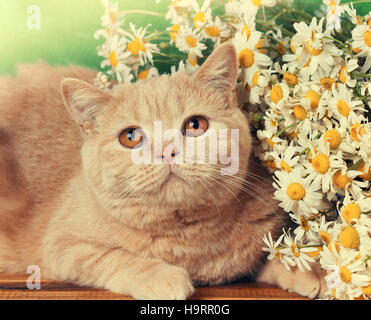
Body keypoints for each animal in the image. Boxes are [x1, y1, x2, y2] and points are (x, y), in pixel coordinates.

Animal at [0, 43, 326, 300]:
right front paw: (160, 276)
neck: (189, 239)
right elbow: (115, 258)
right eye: (131, 137)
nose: (167, 151)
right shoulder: (64, 245)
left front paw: (313, 269)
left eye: (195, 125)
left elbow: (277, 252)